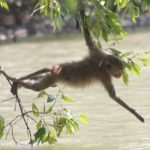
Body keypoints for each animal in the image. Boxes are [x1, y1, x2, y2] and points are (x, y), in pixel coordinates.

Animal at [8, 8, 144, 122]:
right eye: (118, 72)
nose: (120, 75)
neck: (102, 64)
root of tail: (55, 68)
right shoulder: (104, 75)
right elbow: (113, 96)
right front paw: (136, 114)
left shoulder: (98, 53)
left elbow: (88, 40)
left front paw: (82, 13)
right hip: (54, 76)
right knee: (38, 87)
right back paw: (18, 82)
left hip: (51, 76)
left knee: (40, 81)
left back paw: (18, 83)